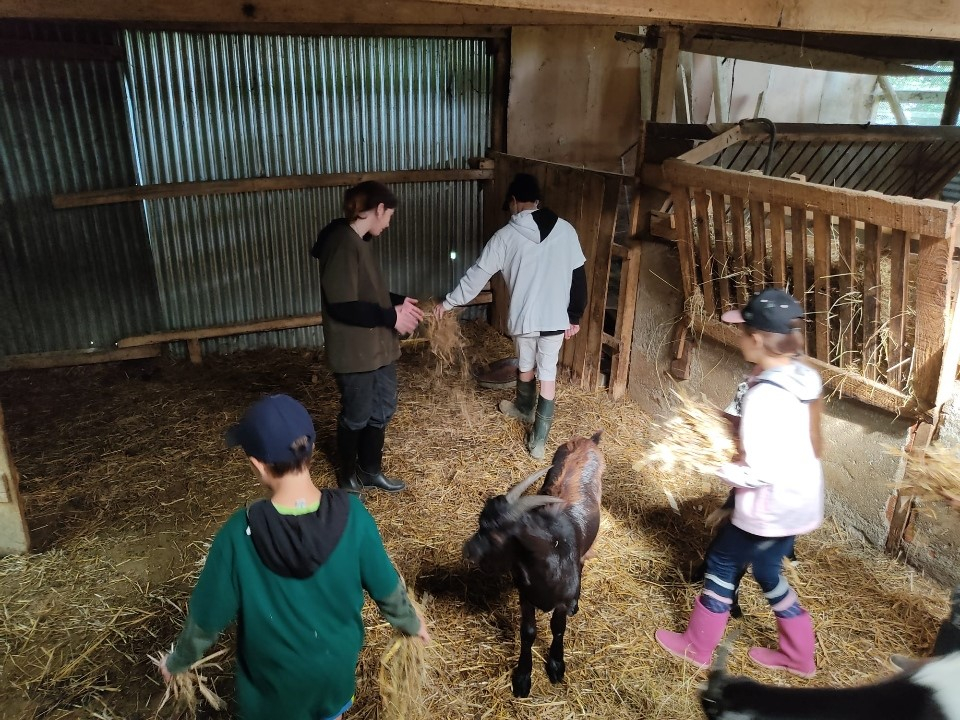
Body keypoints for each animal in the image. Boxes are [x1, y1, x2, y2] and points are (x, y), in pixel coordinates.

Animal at [464, 430, 600, 696]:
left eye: (497, 537)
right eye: (480, 522)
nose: (468, 552)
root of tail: (589, 440)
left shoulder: (559, 601)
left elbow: (558, 627)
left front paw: (556, 665)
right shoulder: (525, 596)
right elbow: (528, 632)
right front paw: (523, 677)